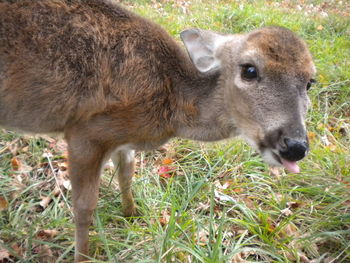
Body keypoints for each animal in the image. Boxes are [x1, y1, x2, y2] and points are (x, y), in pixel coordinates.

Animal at [0, 0, 316, 262]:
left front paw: (132, 214)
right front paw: (83, 257)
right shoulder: (85, 132)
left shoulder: (121, 140)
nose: (295, 145)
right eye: (249, 70)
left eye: (310, 82)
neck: (172, 102)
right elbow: (84, 206)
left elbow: (127, 174)